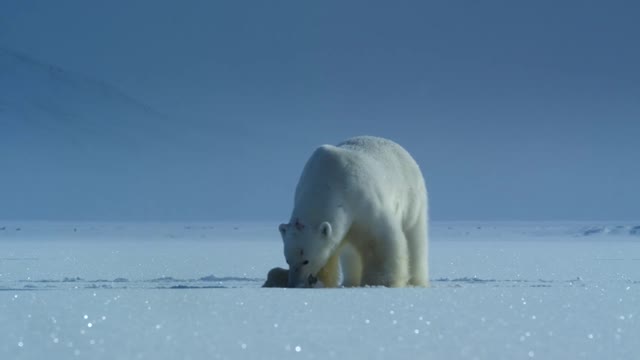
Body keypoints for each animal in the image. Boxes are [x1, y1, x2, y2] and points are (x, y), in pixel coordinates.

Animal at [278, 136, 428, 288]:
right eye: (287, 260)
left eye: (306, 261)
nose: (294, 284)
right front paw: (321, 281)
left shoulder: (363, 200)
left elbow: (380, 241)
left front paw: (381, 282)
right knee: (351, 254)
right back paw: (350, 281)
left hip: (412, 199)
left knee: (415, 239)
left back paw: (417, 281)